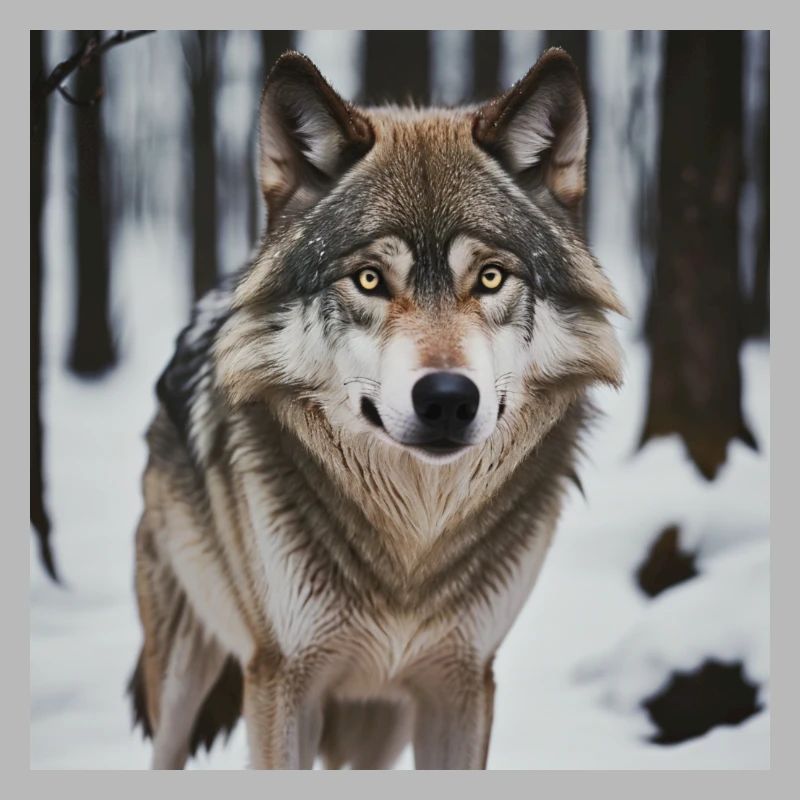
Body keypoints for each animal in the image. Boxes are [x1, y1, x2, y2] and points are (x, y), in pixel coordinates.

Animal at [129, 47, 625, 770]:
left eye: (491, 277)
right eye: (369, 279)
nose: (447, 400)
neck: (410, 545)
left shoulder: (462, 682)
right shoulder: (282, 679)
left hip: (377, 725)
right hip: (184, 675)